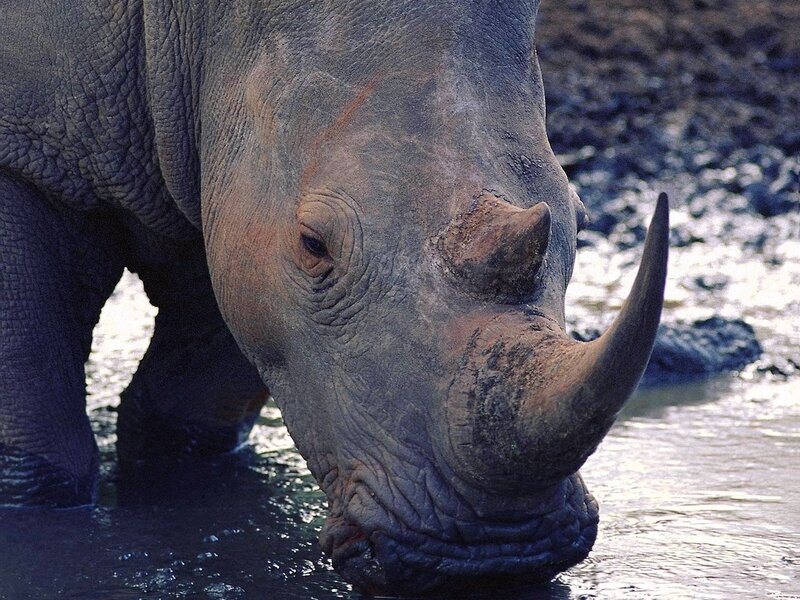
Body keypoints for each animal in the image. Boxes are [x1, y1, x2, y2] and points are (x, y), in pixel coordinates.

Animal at [0, 0, 669, 595]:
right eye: (314, 244)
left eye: (580, 219)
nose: (495, 555)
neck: (195, 23)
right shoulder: (23, 154)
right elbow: (42, 445)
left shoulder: (227, 188)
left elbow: (194, 398)